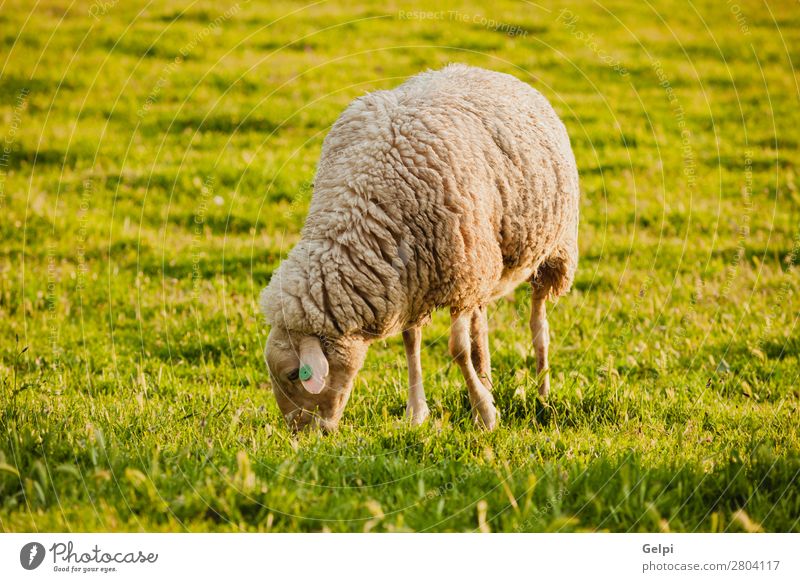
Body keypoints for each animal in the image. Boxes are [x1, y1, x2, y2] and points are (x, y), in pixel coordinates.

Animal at [260, 66, 580, 436]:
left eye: (292, 375)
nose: (302, 435)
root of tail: (486, 70)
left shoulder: (458, 276)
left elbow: (457, 350)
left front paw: (485, 414)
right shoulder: (411, 278)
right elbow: (412, 342)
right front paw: (417, 413)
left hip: (552, 249)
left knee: (538, 324)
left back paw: (542, 392)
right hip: (484, 262)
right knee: (481, 328)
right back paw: (487, 380)